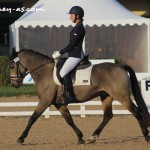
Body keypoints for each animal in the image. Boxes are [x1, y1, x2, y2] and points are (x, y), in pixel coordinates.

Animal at [8, 48, 150, 144]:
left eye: (11, 66)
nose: (14, 84)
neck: (44, 72)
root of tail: (120, 65)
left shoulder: (44, 101)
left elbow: (32, 118)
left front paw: (21, 138)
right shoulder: (58, 103)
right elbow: (69, 120)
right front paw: (80, 137)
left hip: (122, 96)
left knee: (136, 111)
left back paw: (146, 136)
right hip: (106, 96)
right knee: (108, 115)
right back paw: (93, 137)